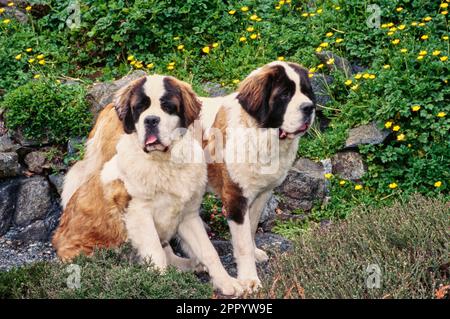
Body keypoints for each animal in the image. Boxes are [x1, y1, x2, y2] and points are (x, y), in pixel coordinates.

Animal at [52, 75, 246, 298]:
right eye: (139, 108)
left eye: (167, 106)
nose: (151, 120)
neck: (164, 162)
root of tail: (57, 239)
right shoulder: (139, 215)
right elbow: (155, 254)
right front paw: (162, 286)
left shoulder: (188, 216)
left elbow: (209, 251)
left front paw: (226, 282)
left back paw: (190, 265)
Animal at [200, 61, 316, 292]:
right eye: (285, 94)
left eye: (306, 91)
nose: (309, 107)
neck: (261, 134)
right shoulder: (236, 199)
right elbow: (242, 242)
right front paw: (249, 279)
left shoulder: (262, 194)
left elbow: (251, 228)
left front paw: (255, 253)